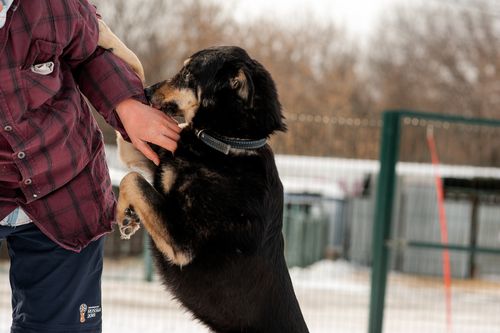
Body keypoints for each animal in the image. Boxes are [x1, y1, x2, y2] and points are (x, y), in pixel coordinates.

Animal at [113, 44, 308, 332]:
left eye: (187, 73)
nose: (146, 91)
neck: (230, 143)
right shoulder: (159, 159)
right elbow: (131, 149)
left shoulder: (181, 242)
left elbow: (134, 180)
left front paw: (123, 214)